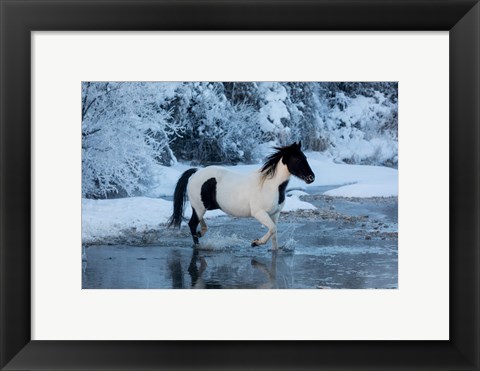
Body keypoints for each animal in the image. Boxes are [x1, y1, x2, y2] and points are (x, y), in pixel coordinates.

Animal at [168, 142, 316, 250]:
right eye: (297, 158)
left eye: (305, 158)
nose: (311, 177)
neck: (270, 186)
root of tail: (195, 173)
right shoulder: (259, 213)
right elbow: (273, 229)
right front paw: (255, 243)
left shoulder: (275, 214)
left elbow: (274, 233)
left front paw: (272, 249)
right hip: (200, 207)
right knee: (192, 223)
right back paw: (199, 245)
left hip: (203, 207)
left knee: (198, 221)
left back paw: (201, 232)